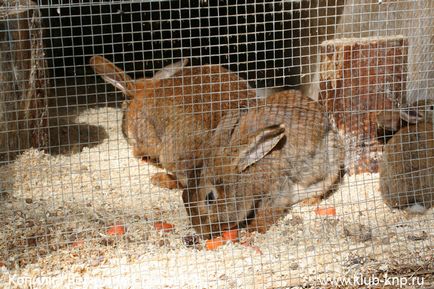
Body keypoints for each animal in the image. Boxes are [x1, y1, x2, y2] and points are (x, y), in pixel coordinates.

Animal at [183, 89, 346, 236]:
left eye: (210, 197)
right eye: (183, 195)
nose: (203, 232)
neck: (244, 172)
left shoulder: (277, 187)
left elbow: (269, 210)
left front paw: (251, 230)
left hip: (330, 163)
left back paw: (308, 202)